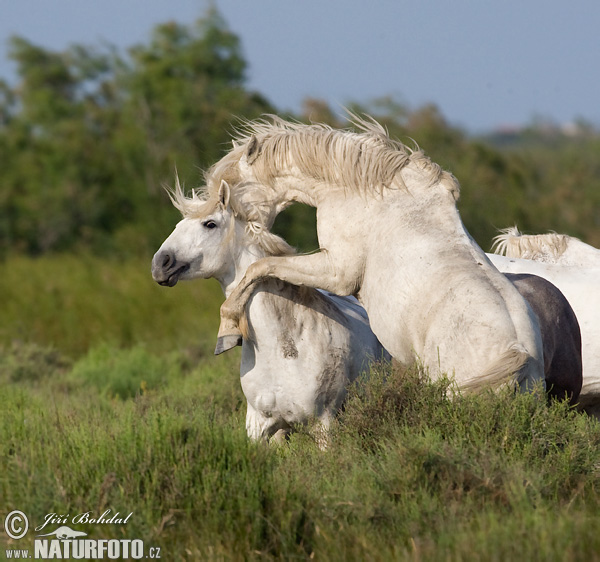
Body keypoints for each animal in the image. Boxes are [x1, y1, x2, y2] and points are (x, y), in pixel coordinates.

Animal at [150, 179, 390, 442]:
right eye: (178, 225)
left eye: (209, 224)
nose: (160, 264)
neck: (282, 345)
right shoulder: (259, 427)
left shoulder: (324, 425)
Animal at [205, 116, 544, 392]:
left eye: (229, 190)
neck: (359, 190)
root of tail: (519, 351)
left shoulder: (336, 272)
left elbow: (260, 267)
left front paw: (227, 331)